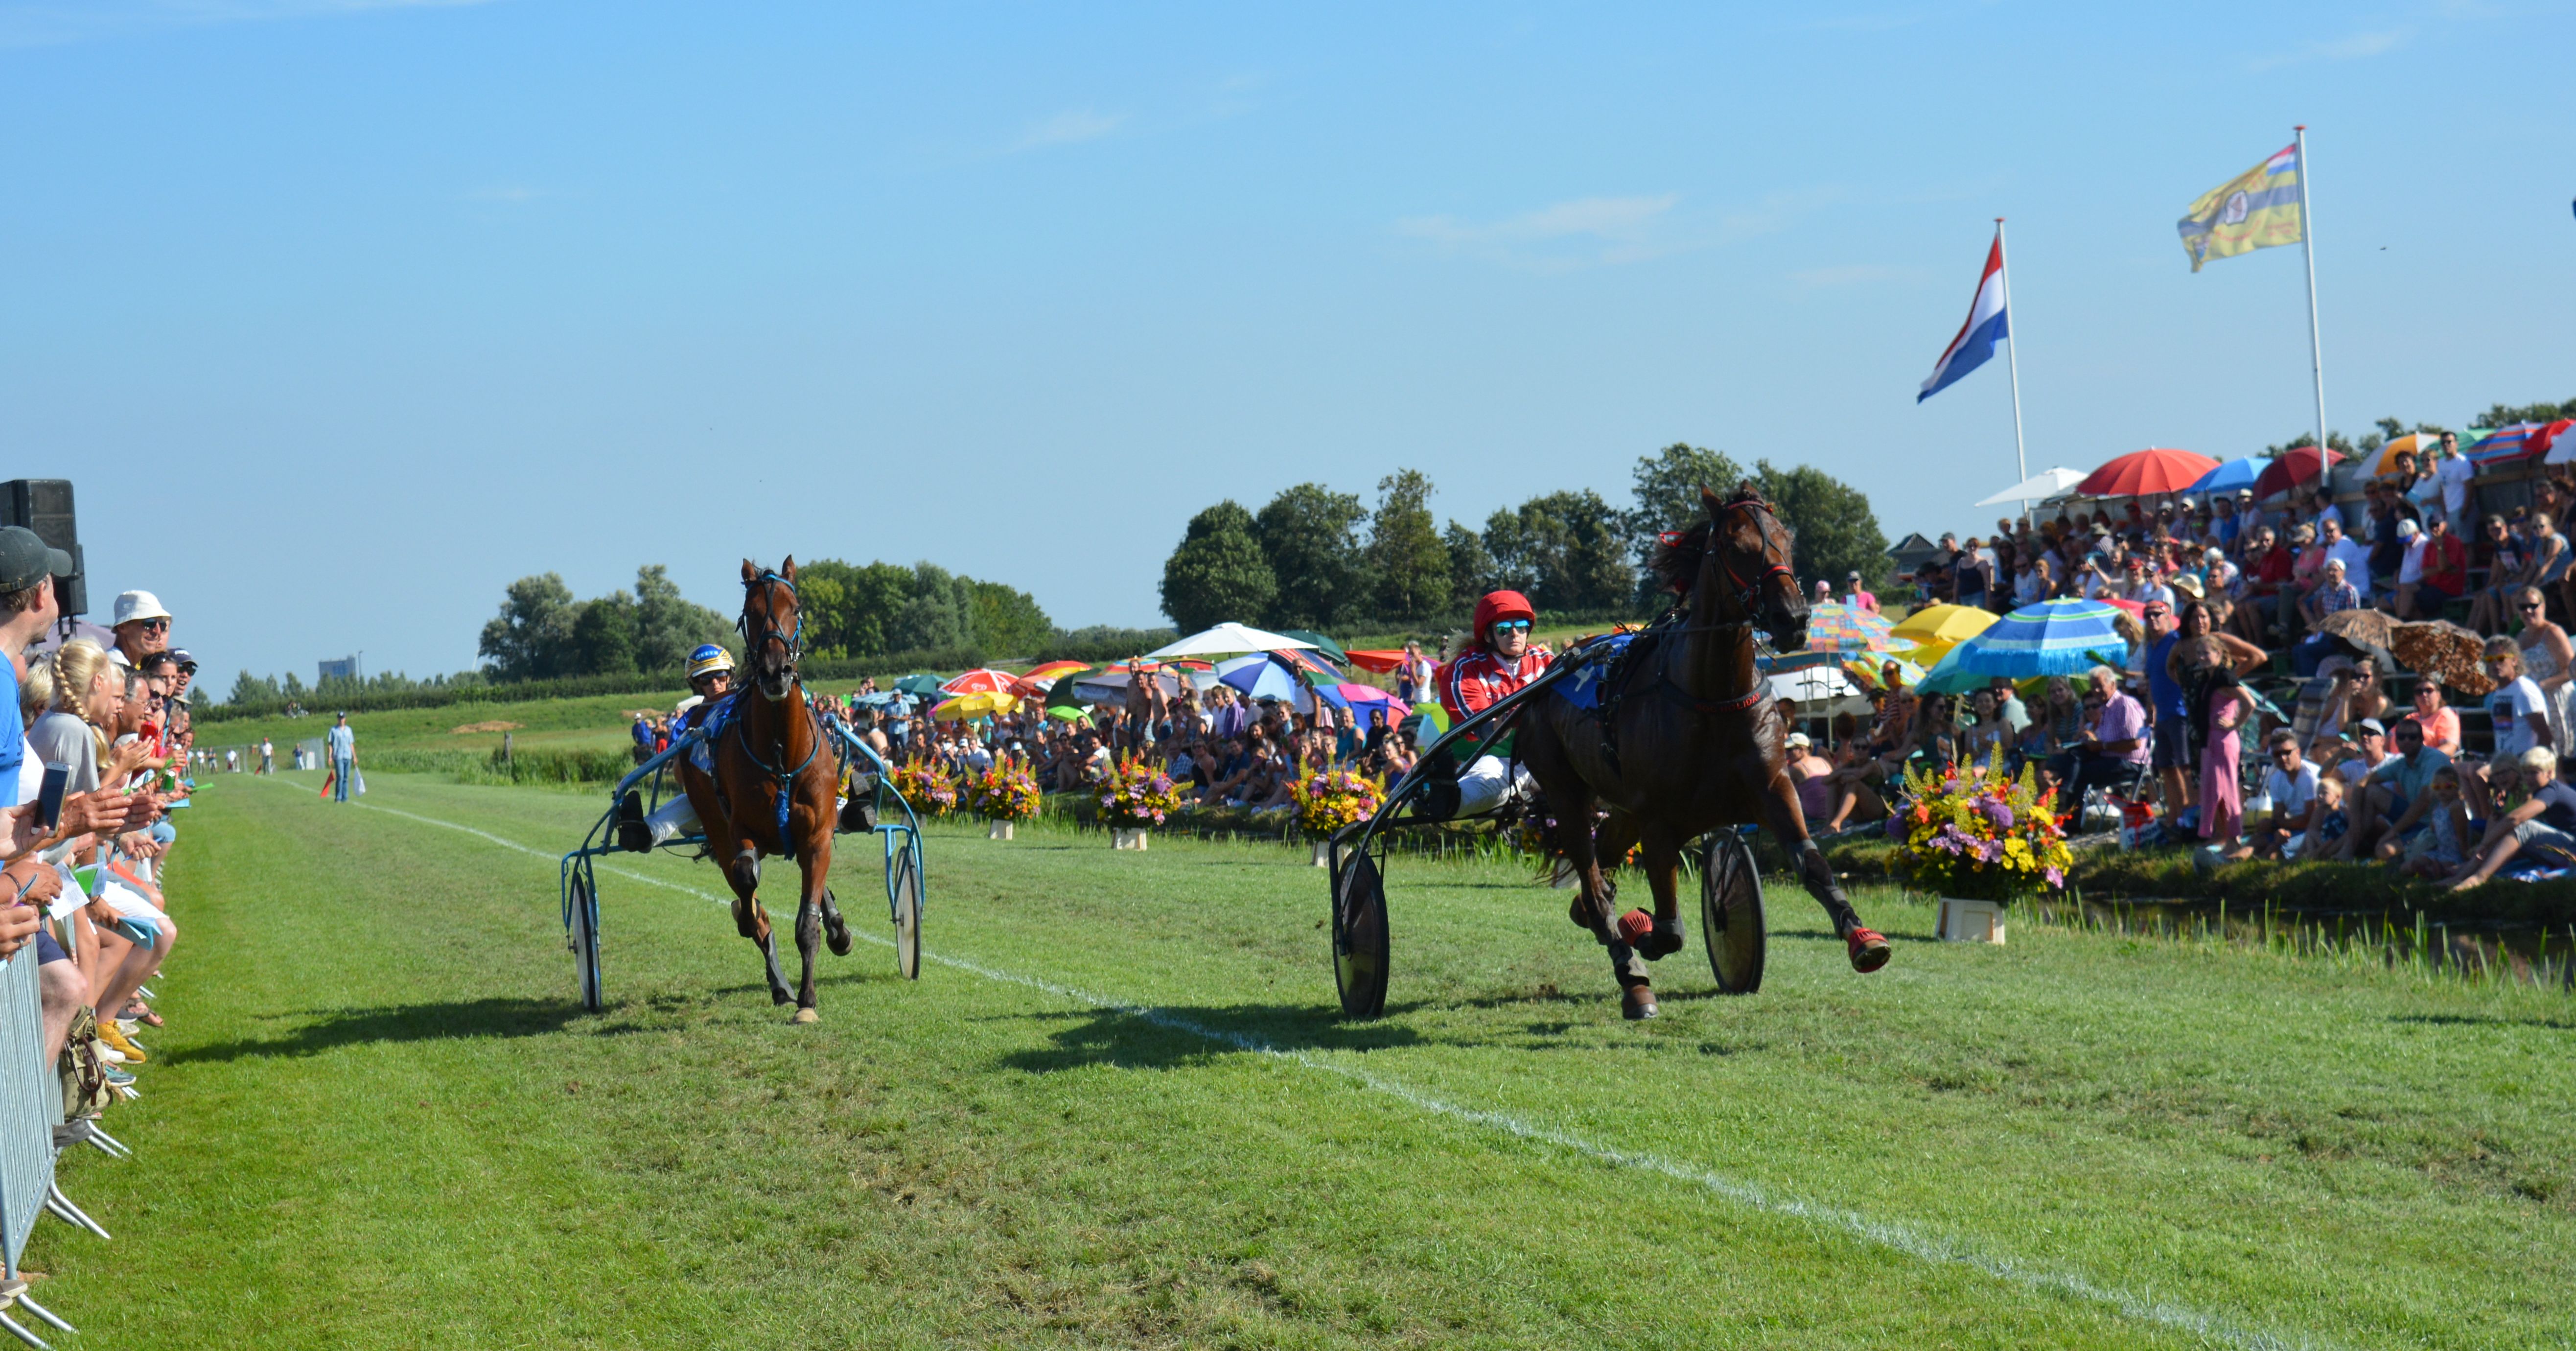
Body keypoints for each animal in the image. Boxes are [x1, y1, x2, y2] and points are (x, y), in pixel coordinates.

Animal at [674, 559, 855, 1026]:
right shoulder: (740, 830)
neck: (781, 752)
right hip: (714, 824)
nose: (775, 672)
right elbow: (747, 881)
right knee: (746, 885)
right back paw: (777, 980)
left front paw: (809, 999)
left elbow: (808, 918)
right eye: (750, 612)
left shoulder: (816, 834)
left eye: (795, 606)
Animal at [1504, 479, 1896, 1021]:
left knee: (1599, 872)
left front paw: (1862, 937)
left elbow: (1813, 865)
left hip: (1620, 805)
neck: (1712, 698)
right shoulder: (1658, 819)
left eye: (1785, 539)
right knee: (1591, 875)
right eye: (1735, 545)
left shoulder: (1773, 789)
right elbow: (1669, 928)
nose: (1793, 618)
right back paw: (1631, 975)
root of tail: (1547, 671)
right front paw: (1641, 936)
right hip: (1566, 791)